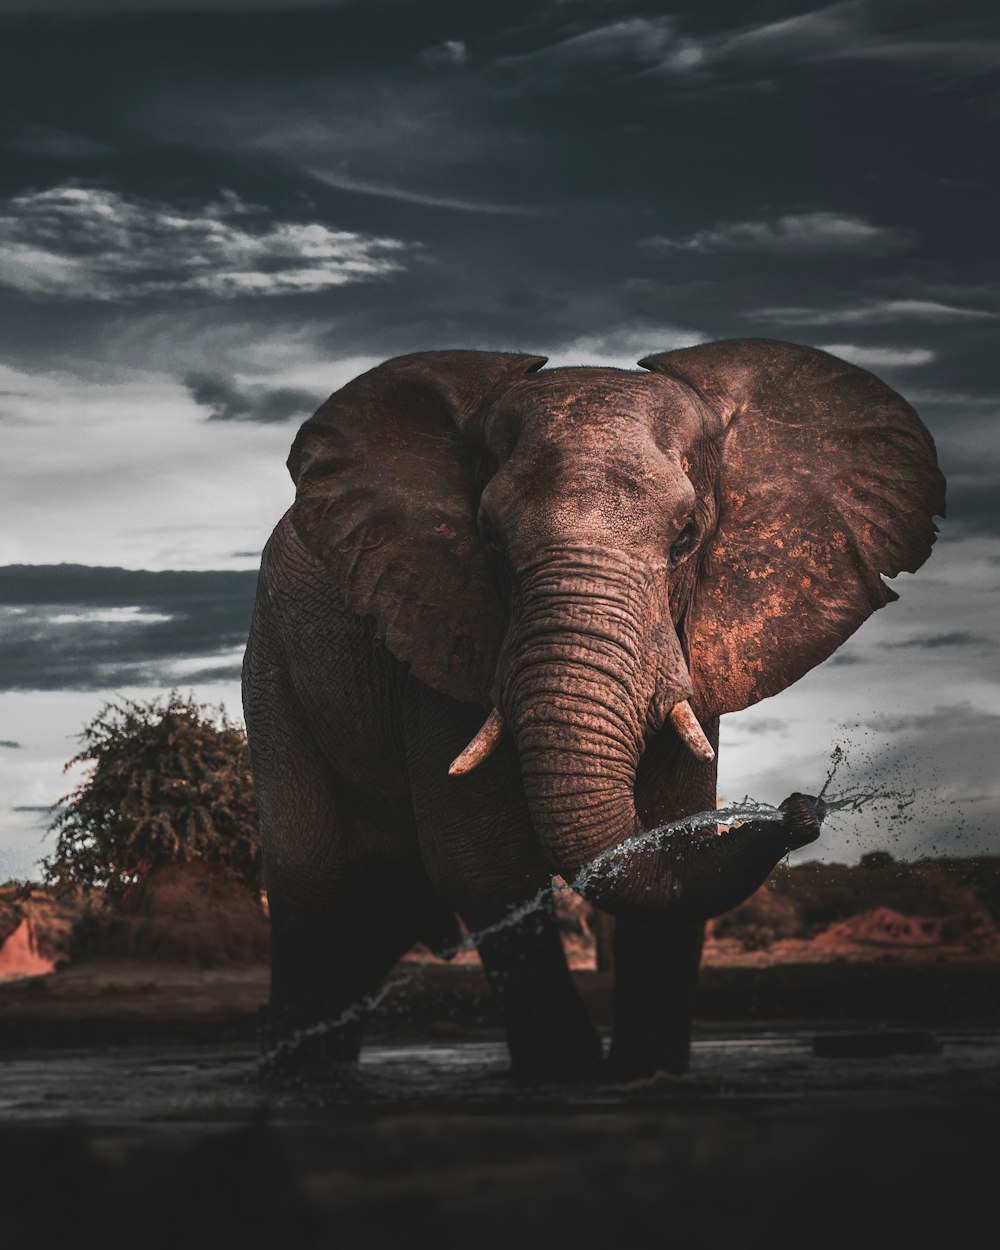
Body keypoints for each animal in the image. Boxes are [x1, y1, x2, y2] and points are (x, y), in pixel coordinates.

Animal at [243, 337, 945, 1080]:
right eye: (488, 538)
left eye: (687, 536)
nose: (801, 808)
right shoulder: (438, 632)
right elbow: (484, 865)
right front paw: (568, 1077)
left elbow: (670, 832)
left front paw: (646, 1074)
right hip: (273, 664)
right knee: (310, 881)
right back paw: (292, 1078)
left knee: (388, 903)